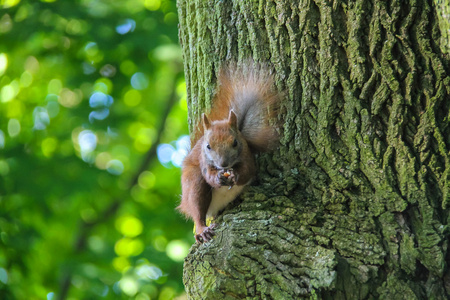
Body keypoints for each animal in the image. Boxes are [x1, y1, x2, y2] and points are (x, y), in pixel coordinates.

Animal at [178, 62, 280, 243]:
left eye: (235, 142)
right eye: (208, 146)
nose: (223, 164)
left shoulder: (247, 155)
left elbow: (247, 171)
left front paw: (236, 175)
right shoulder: (204, 161)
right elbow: (208, 175)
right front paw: (218, 177)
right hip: (193, 185)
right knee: (197, 208)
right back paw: (202, 230)